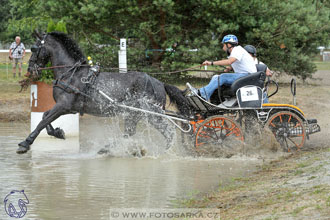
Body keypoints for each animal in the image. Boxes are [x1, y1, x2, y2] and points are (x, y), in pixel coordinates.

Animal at [18, 31, 192, 155]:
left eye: (34, 48)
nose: (30, 69)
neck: (71, 73)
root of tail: (160, 83)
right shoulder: (68, 108)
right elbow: (44, 116)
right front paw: (58, 133)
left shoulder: (63, 106)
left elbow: (42, 122)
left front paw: (25, 143)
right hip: (136, 114)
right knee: (131, 133)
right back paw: (108, 149)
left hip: (148, 113)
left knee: (168, 131)